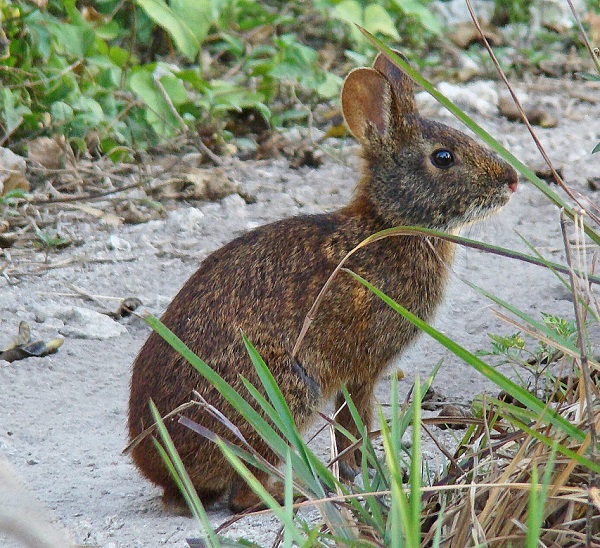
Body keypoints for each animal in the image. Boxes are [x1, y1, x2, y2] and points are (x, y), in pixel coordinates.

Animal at [129, 49, 516, 512]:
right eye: (443, 157)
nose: (512, 180)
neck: (387, 224)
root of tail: (166, 473)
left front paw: (355, 473)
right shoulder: (364, 367)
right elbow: (356, 421)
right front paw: (366, 472)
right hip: (280, 393)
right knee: (243, 492)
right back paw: (297, 492)